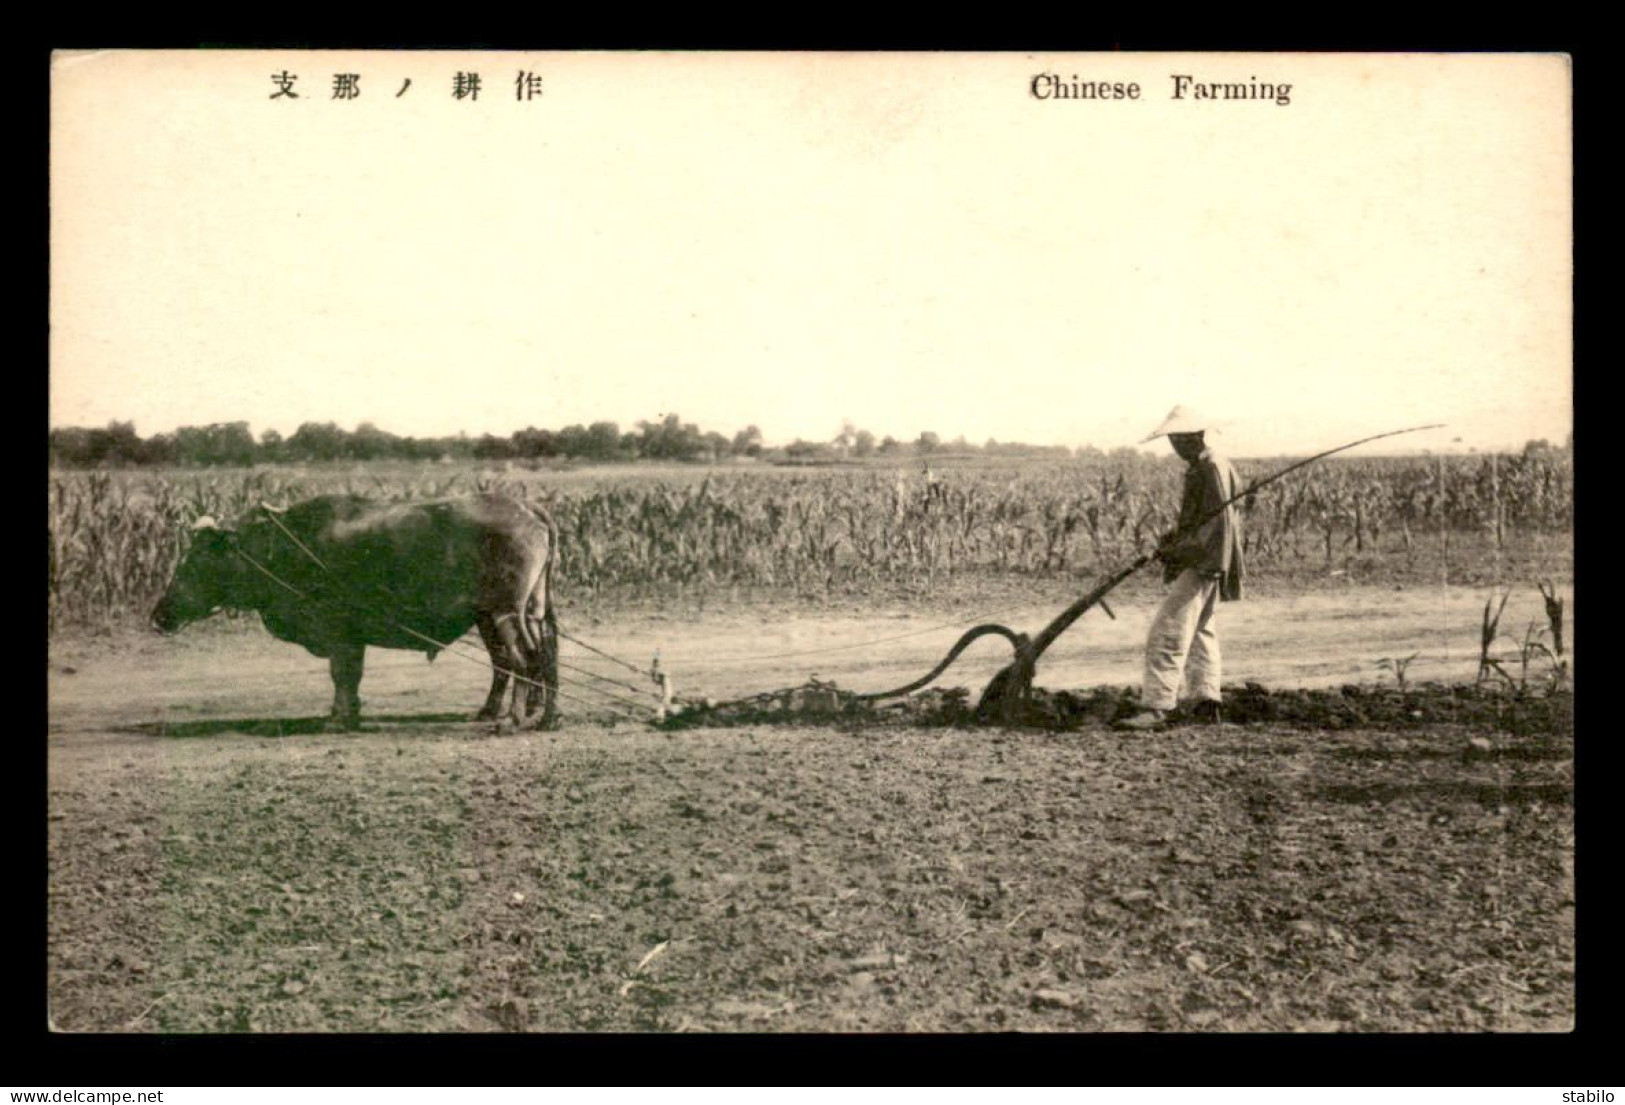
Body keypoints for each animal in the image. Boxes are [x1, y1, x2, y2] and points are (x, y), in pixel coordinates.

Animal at [153, 497, 559, 728]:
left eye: (194, 561)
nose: (159, 614)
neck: (282, 547)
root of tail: (526, 507)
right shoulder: (352, 635)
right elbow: (352, 675)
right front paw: (351, 711)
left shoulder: (337, 628)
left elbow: (341, 673)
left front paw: (338, 716)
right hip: (519, 613)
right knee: (536, 656)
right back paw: (540, 716)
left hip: (505, 613)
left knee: (524, 659)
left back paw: (513, 718)